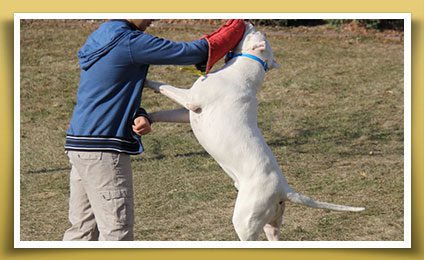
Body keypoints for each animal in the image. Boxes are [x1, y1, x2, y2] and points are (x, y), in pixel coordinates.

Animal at [146, 23, 364, 241]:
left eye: (259, 32)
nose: (250, 22)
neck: (247, 66)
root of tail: (284, 189)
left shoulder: (191, 99)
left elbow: (162, 85)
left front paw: (147, 80)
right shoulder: (187, 113)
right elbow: (163, 113)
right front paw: (144, 119)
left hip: (245, 222)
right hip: (271, 223)